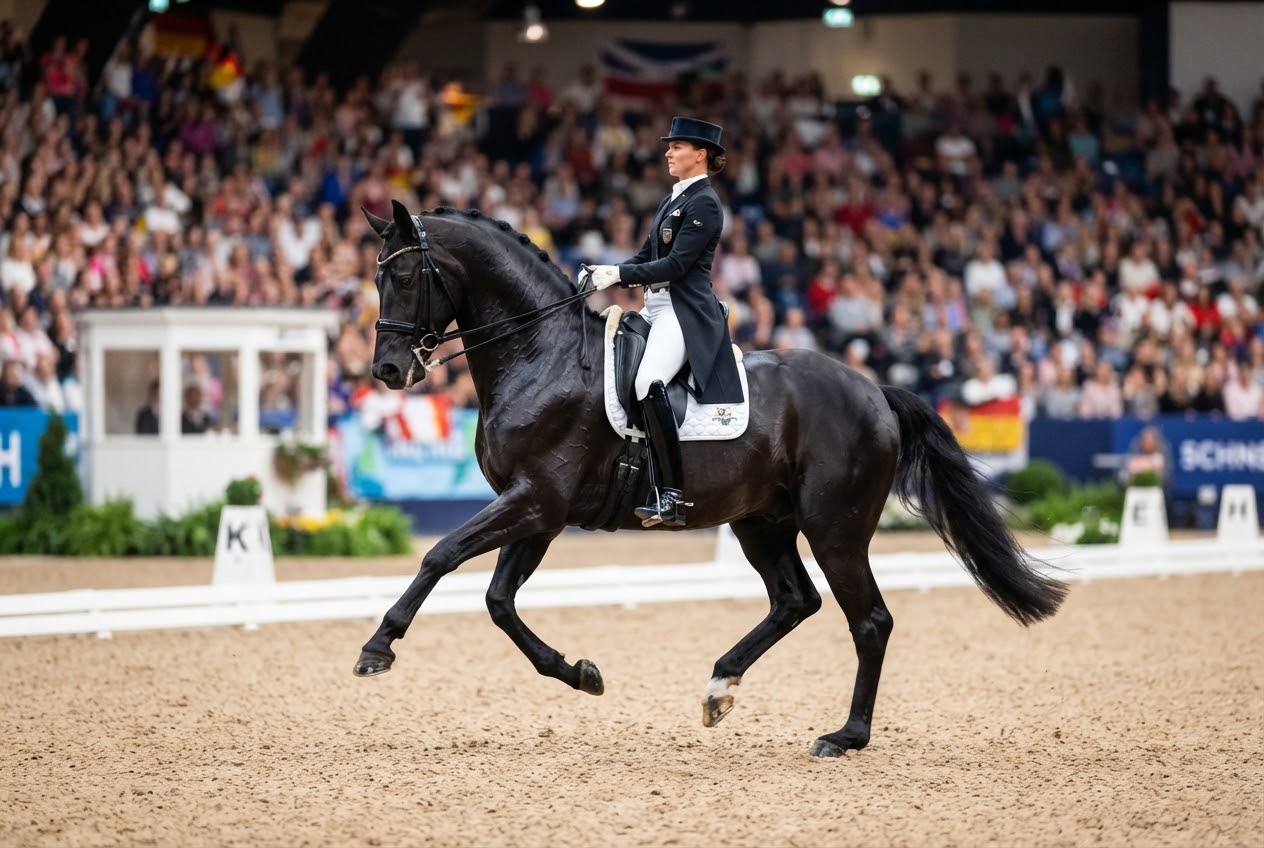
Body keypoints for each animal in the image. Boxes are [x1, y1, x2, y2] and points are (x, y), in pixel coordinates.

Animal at [354, 200, 1067, 758]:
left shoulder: (535, 501)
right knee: (795, 600)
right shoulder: (538, 510)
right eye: (376, 277)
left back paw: (845, 736)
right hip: (761, 521)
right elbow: (499, 601)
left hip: (834, 530)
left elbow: (441, 554)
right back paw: (720, 688)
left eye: (407, 275)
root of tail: (874, 391)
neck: (541, 354)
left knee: (869, 621)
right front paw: (580, 673)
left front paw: (378, 646)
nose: (388, 370)